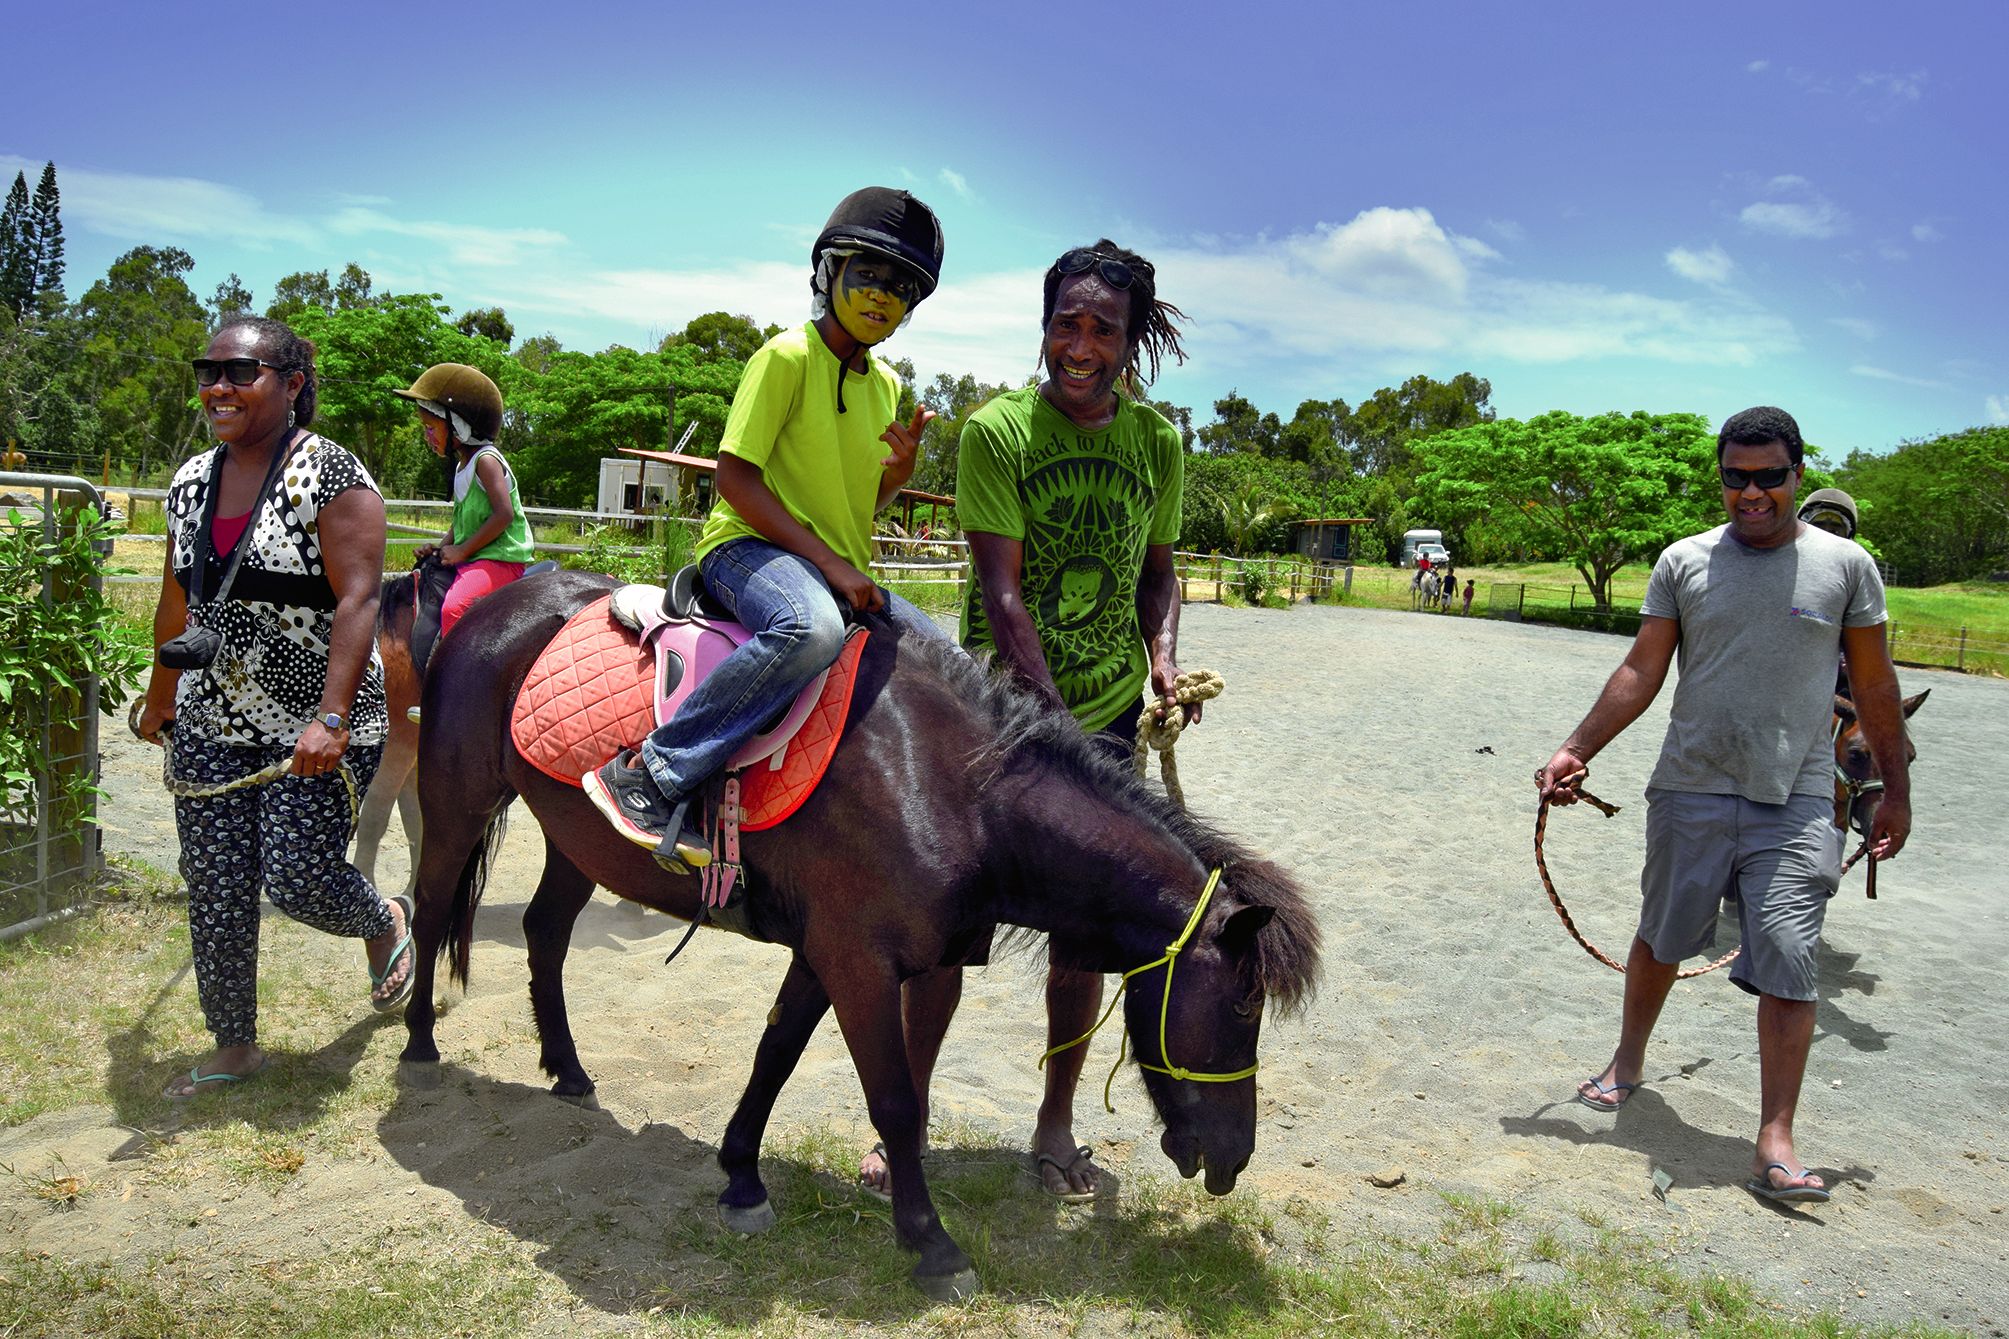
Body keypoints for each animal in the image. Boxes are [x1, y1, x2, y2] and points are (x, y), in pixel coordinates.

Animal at [399, 574, 1325, 1300]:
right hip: (454, 804)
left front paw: (741, 1179)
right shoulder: (859, 963)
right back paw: (418, 1048)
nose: (1234, 1158)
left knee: (545, 933)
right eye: (1242, 1007)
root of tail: (497, 604)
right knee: (431, 903)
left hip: (573, 839)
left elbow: (773, 1058)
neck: (954, 789)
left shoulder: (825, 954)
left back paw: (567, 1068)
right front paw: (931, 1242)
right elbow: (895, 1100)